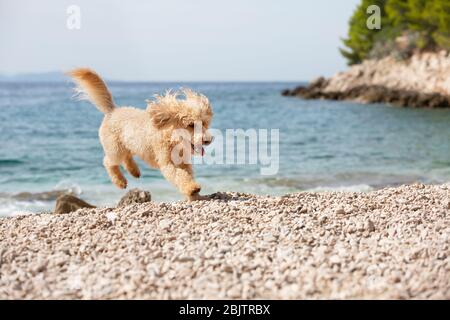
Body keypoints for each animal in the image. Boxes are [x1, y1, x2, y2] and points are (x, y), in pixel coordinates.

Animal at [67, 69, 214, 201]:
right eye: (191, 124)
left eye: (204, 123)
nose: (208, 140)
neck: (171, 138)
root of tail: (113, 111)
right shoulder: (168, 163)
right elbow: (180, 176)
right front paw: (192, 188)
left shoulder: (184, 163)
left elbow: (187, 175)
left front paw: (193, 193)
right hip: (115, 149)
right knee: (108, 162)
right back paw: (120, 181)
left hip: (130, 145)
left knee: (127, 158)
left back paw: (134, 171)